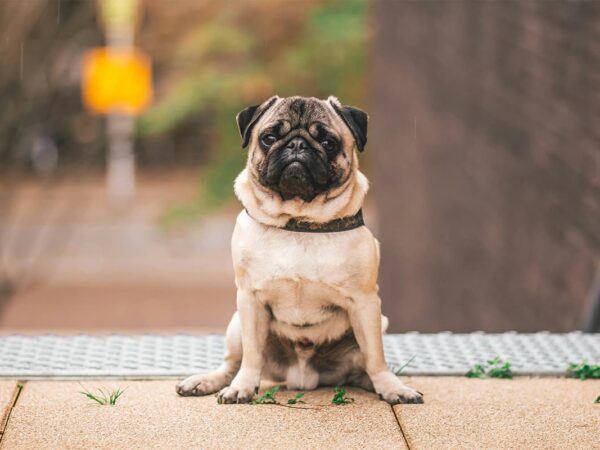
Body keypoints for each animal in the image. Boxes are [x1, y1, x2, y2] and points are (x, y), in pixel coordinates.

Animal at [176, 95, 424, 404]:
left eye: (328, 143)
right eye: (269, 138)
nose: (297, 145)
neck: (299, 221)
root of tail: (302, 377)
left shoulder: (365, 302)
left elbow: (376, 357)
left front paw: (392, 387)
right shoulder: (249, 299)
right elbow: (252, 356)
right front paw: (242, 386)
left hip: (379, 322)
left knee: (364, 366)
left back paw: (380, 383)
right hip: (235, 325)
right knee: (232, 363)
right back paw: (207, 381)